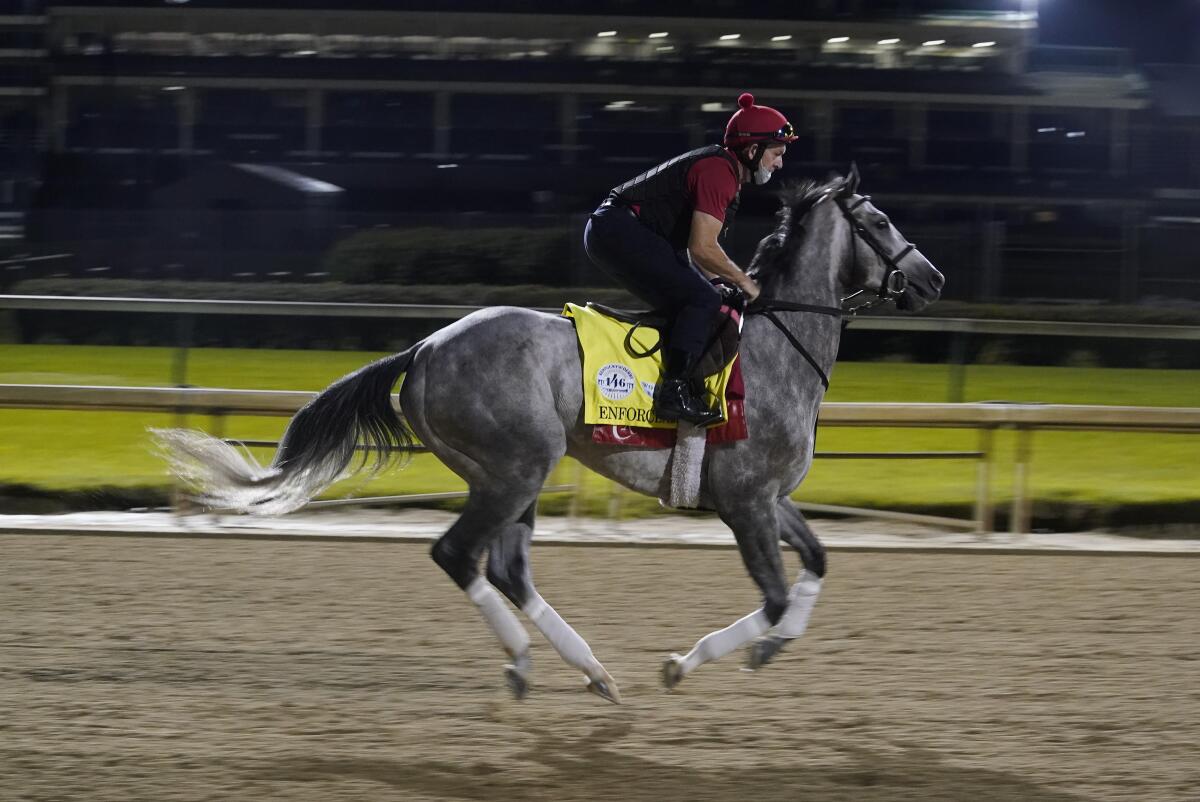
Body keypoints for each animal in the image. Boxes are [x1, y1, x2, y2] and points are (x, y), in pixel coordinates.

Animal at [157, 168, 945, 701]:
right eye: (878, 221)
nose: (933, 279)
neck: (778, 345)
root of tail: (426, 348)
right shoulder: (745, 501)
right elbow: (776, 596)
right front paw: (682, 664)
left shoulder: (772, 497)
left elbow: (818, 561)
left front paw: (770, 652)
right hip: (517, 467)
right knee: (458, 555)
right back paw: (540, 663)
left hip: (509, 471)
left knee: (505, 567)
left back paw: (590, 671)